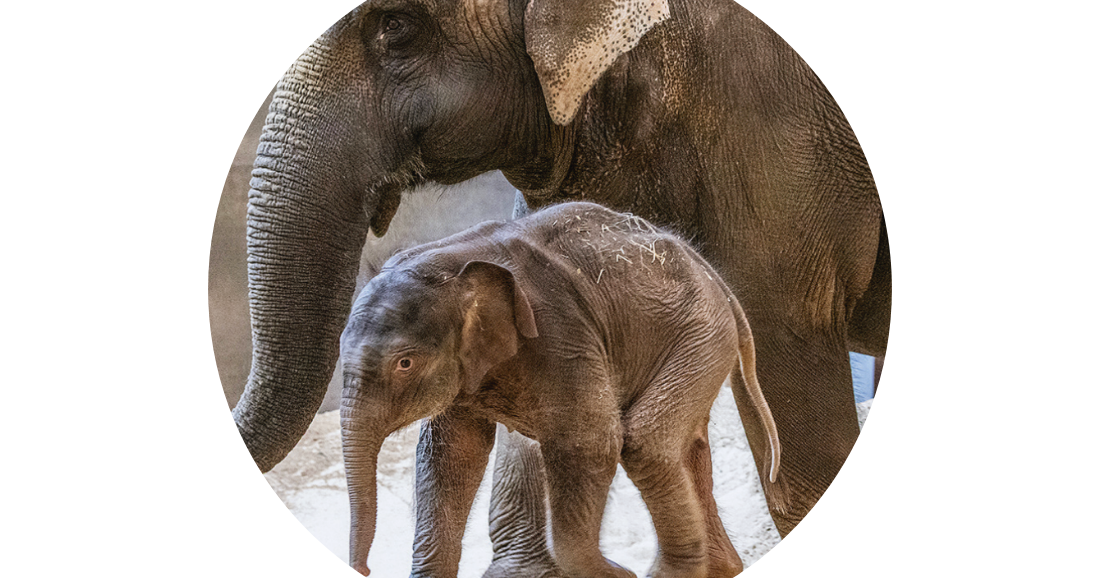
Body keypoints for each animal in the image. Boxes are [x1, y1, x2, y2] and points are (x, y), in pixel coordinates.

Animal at [339, 201, 784, 578]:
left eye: (405, 363)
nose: (364, 569)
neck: (450, 260)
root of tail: (713, 275)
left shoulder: (561, 332)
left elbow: (589, 442)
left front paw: (618, 575)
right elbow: (451, 456)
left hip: (702, 333)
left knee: (647, 446)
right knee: (686, 446)